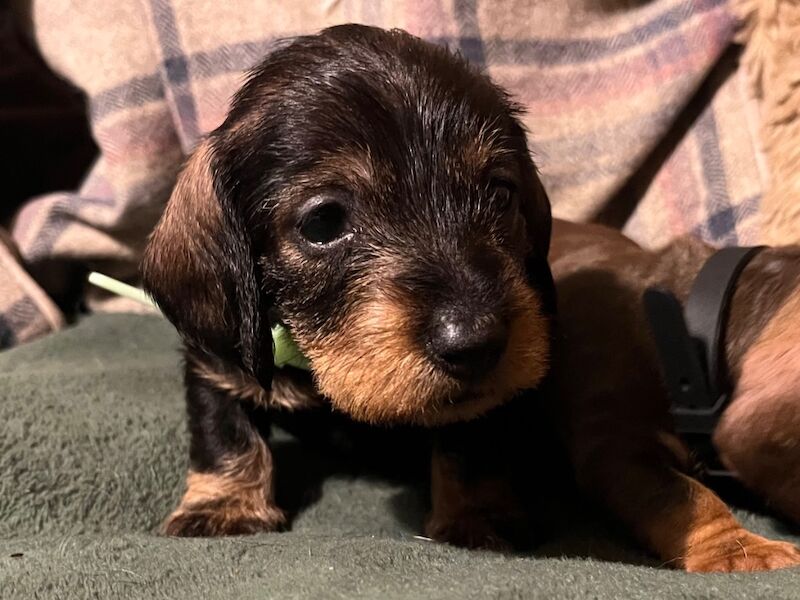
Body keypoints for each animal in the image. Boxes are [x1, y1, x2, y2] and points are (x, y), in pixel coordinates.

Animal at [142, 25, 556, 548]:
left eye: (500, 194)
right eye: (322, 223)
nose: (475, 342)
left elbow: (470, 442)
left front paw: (478, 515)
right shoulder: (218, 364)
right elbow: (225, 432)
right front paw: (223, 507)